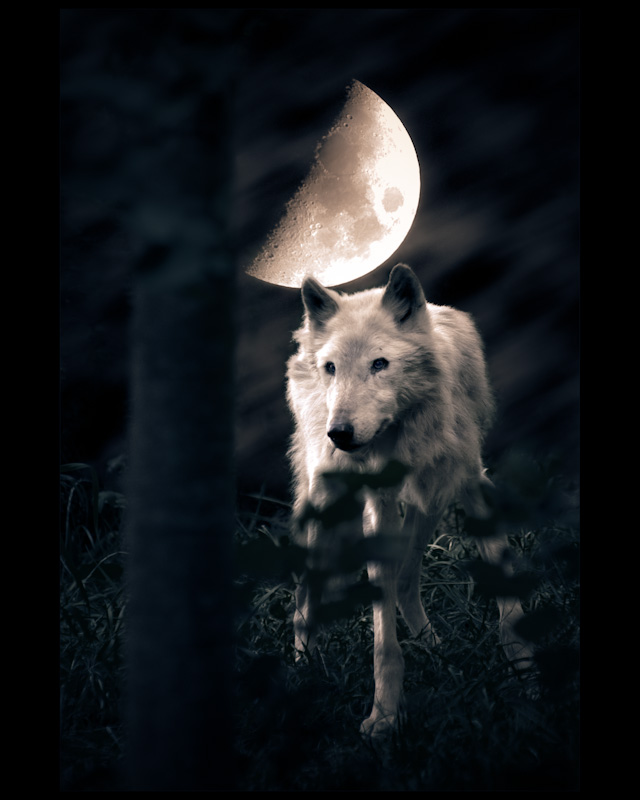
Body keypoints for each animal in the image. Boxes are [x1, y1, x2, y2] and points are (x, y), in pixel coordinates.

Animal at [286, 263, 533, 737]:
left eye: (379, 364)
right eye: (332, 368)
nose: (339, 433)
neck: (403, 432)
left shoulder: (470, 482)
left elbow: (508, 604)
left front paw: (526, 672)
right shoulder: (379, 509)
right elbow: (384, 642)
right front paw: (384, 716)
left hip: (429, 502)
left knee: (403, 581)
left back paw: (438, 651)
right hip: (325, 508)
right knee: (303, 601)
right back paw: (303, 675)